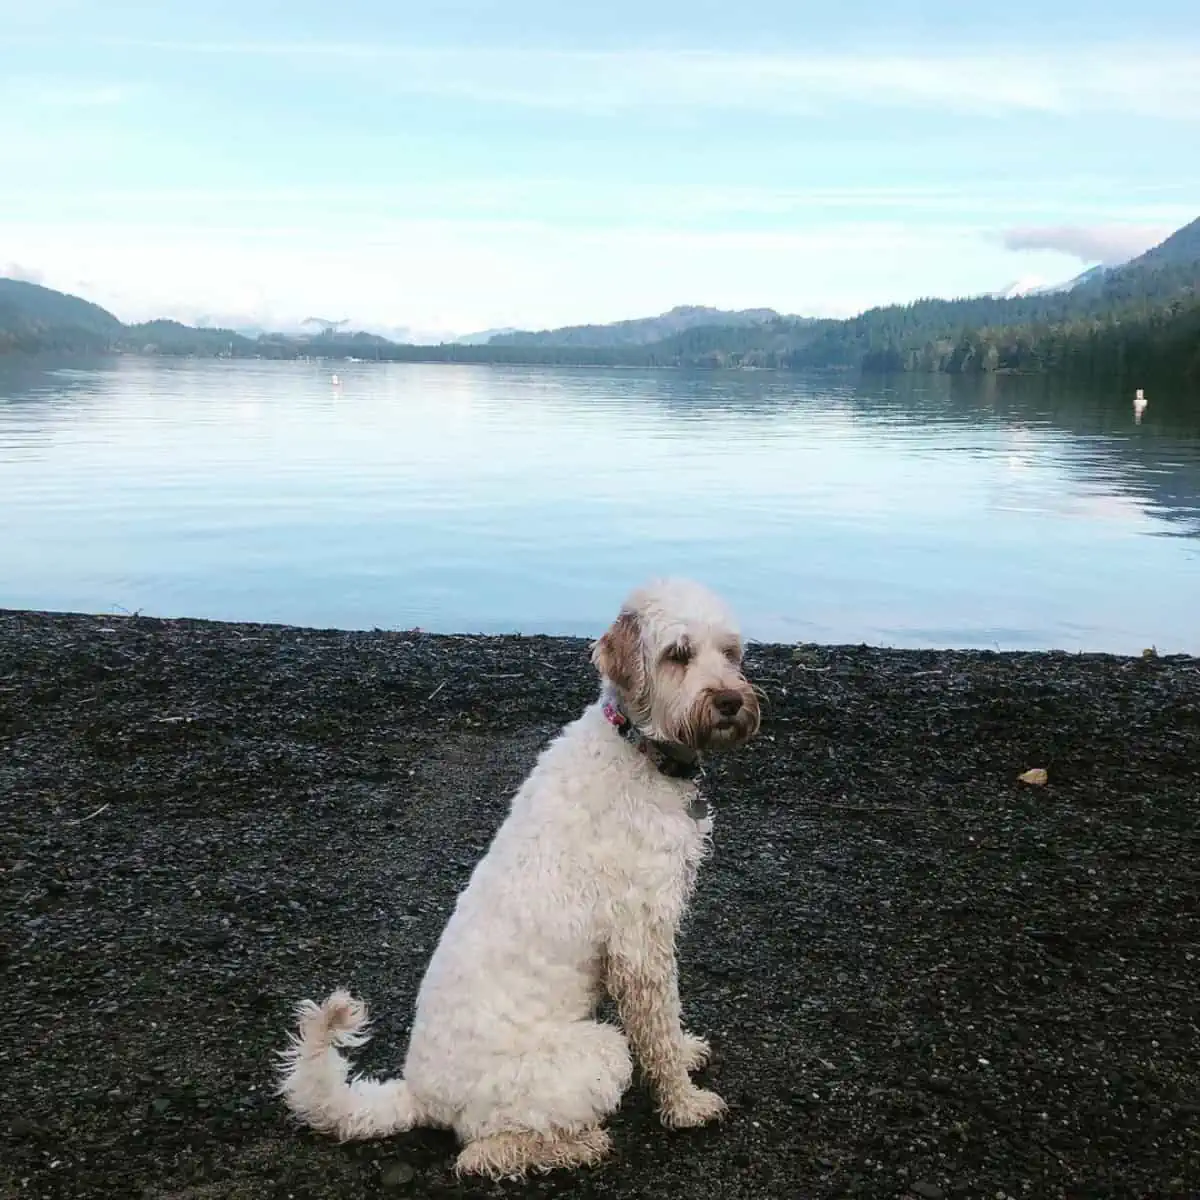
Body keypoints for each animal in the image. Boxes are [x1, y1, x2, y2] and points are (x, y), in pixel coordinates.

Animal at [276, 576, 758, 1176]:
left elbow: (668, 1024)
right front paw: (685, 1104)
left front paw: (688, 1054)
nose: (731, 701)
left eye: (731, 652)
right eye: (678, 653)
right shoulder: (640, 940)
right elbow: (658, 1026)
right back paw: (582, 1145)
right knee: (478, 1153)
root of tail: (417, 1094)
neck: (636, 750)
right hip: (594, 1053)